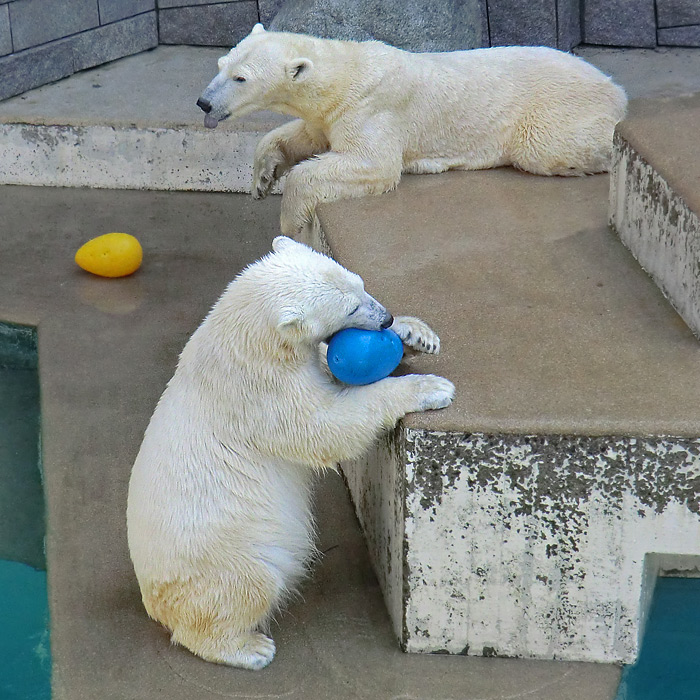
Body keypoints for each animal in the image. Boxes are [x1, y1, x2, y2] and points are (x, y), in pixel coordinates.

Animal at [197, 23, 628, 235]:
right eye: (220, 65)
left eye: (240, 78)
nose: (204, 102)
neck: (347, 72)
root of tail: (615, 87)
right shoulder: (330, 113)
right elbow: (306, 135)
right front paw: (262, 177)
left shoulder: (372, 106)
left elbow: (373, 164)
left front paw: (289, 223)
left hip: (557, 110)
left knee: (544, 147)